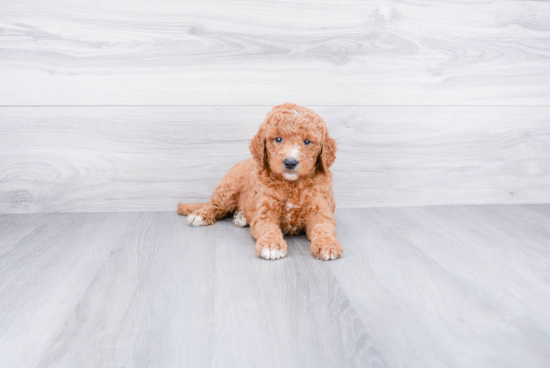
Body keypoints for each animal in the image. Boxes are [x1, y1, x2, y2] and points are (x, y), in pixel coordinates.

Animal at [180, 102, 344, 260]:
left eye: (307, 141)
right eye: (278, 139)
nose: (290, 162)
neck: (291, 185)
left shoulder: (320, 209)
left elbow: (323, 227)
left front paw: (328, 244)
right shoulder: (266, 210)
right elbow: (268, 228)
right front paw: (271, 245)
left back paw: (241, 217)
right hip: (228, 189)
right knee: (215, 205)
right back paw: (200, 215)